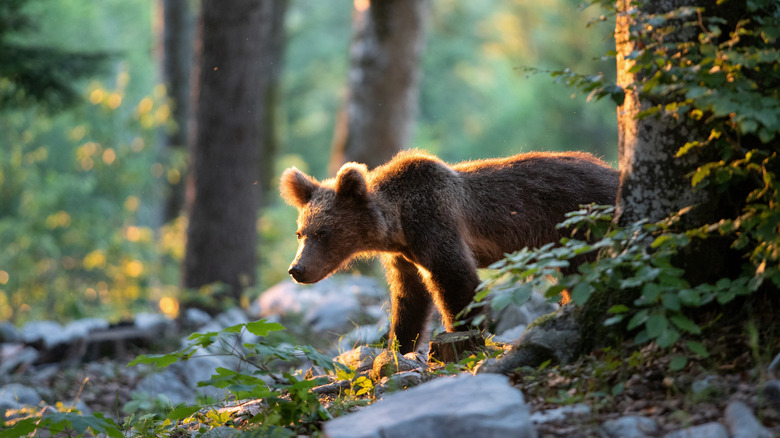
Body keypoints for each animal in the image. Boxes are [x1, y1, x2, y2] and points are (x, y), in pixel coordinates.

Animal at [278, 151, 616, 356]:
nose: (297, 269)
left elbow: (457, 281)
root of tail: (614, 172)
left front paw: (463, 334)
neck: (398, 226)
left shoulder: (434, 223)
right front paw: (398, 346)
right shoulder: (404, 257)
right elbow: (409, 299)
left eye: (324, 233)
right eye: (300, 233)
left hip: (582, 222)